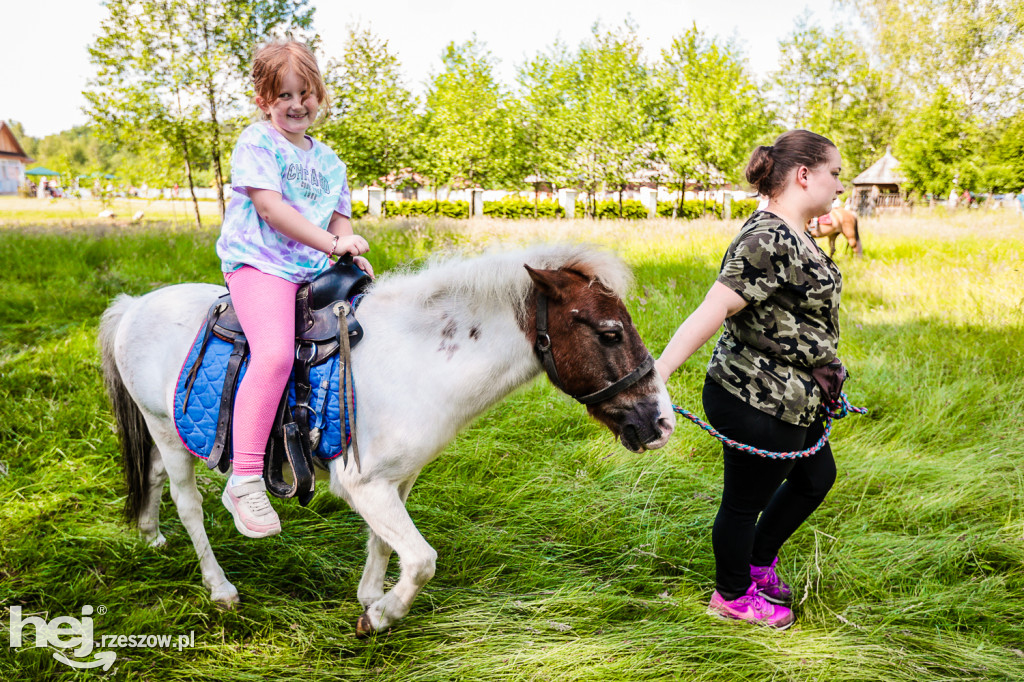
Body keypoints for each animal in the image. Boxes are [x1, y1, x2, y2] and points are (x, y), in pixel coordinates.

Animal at [99, 242, 675, 630]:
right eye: (610, 333)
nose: (662, 423)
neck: (419, 360)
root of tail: (133, 305)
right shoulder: (363, 484)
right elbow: (421, 560)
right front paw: (381, 616)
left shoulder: (397, 480)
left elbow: (384, 542)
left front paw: (371, 596)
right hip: (165, 429)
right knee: (188, 503)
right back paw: (220, 588)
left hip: (169, 432)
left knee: (152, 476)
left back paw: (150, 535)